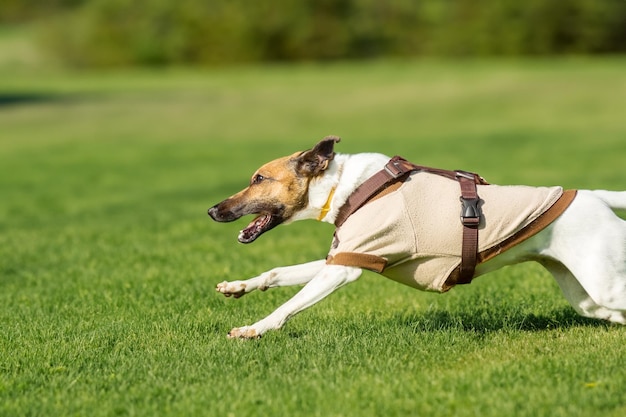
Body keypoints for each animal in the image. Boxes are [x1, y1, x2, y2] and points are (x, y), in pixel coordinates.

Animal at [208, 136, 624, 338]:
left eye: (259, 179)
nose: (212, 211)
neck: (345, 187)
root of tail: (594, 196)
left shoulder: (343, 269)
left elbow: (287, 307)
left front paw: (252, 329)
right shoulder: (345, 256)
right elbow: (277, 273)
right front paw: (237, 287)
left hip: (602, 282)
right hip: (585, 295)